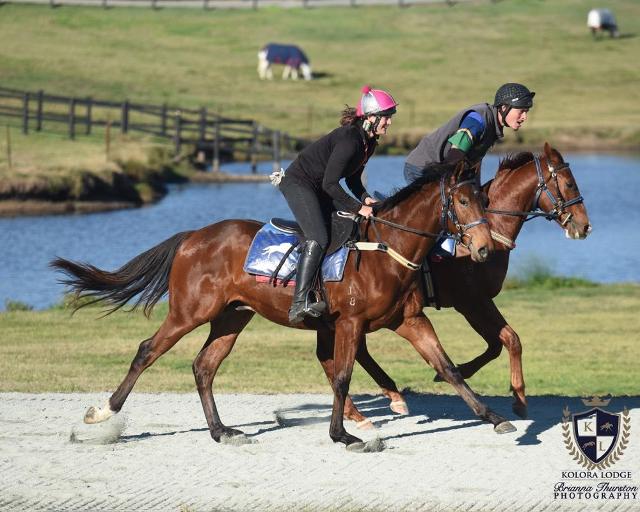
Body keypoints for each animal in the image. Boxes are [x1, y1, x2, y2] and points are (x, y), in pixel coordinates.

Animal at [51, 163, 514, 451]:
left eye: (483, 199)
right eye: (463, 202)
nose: (484, 248)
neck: (387, 248)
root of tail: (191, 237)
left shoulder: (410, 321)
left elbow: (449, 368)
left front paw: (494, 417)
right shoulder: (350, 323)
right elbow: (342, 375)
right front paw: (344, 436)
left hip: (232, 317)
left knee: (204, 366)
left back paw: (222, 431)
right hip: (189, 312)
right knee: (148, 350)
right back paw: (103, 413)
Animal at [338, 143, 591, 426]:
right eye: (569, 184)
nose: (585, 226)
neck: (491, 230)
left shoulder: (477, 301)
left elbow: (503, 342)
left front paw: (514, 396)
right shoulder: (471, 301)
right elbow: (507, 340)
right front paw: (514, 396)